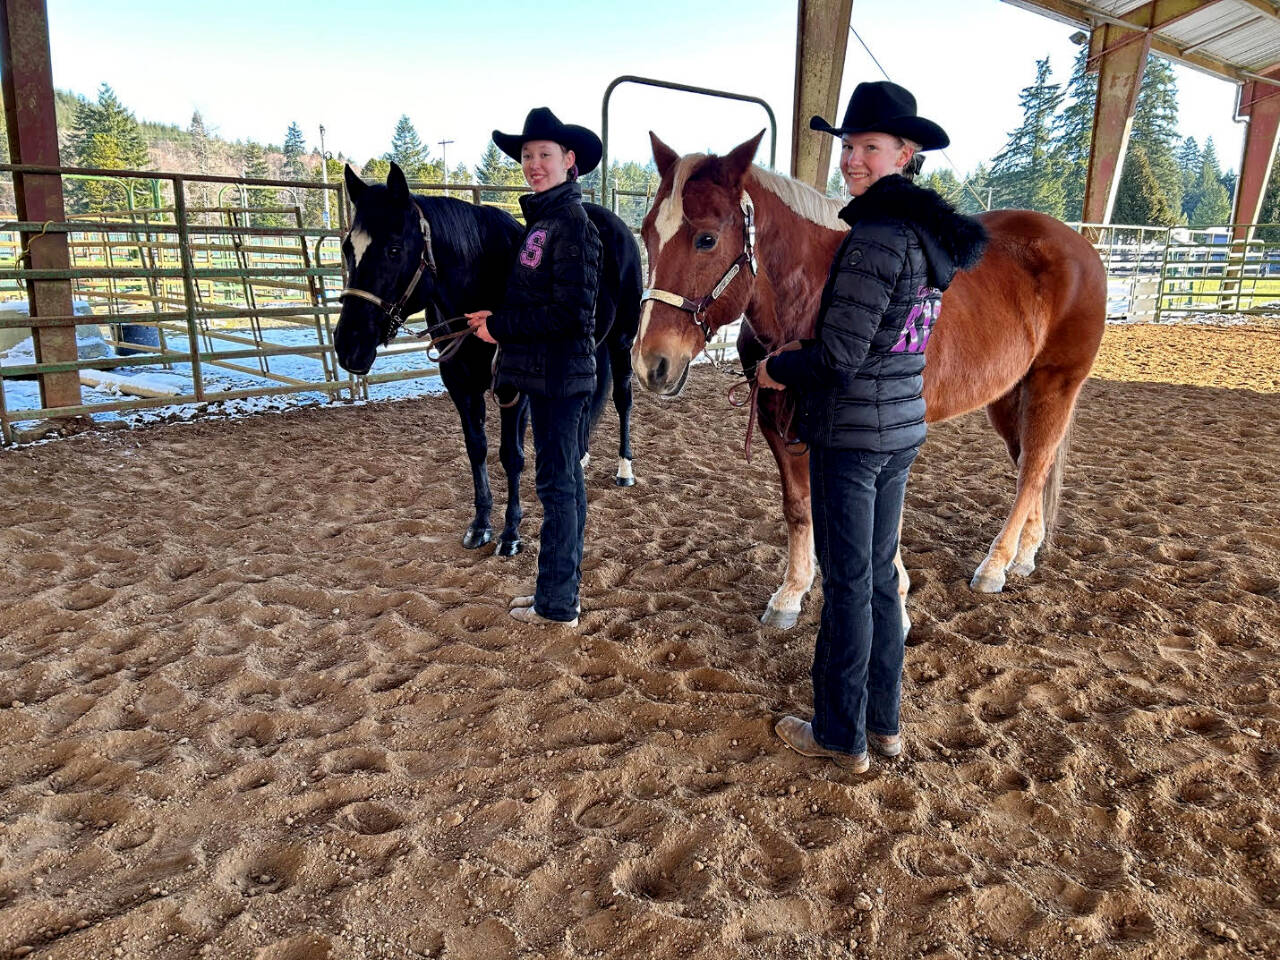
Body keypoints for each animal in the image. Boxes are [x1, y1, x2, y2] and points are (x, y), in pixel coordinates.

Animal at [335, 162, 643, 557]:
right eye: (347, 247)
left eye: (393, 248)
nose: (349, 345)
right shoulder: (461, 386)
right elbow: (476, 449)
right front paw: (480, 525)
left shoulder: (513, 389)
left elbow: (511, 455)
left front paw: (510, 534)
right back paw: (581, 456)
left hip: (621, 341)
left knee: (622, 398)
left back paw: (624, 469)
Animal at [633, 132, 1106, 628]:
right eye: (646, 233)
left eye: (706, 239)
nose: (651, 364)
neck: (812, 296)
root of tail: (1079, 245)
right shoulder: (777, 424)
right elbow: (799, 508)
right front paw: (791, 594)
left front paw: (894, 597)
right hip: (1010, 395)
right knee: (1031, 464)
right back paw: (1025, 554)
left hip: (1055, 385)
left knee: (1033, 468)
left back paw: (995, 566)